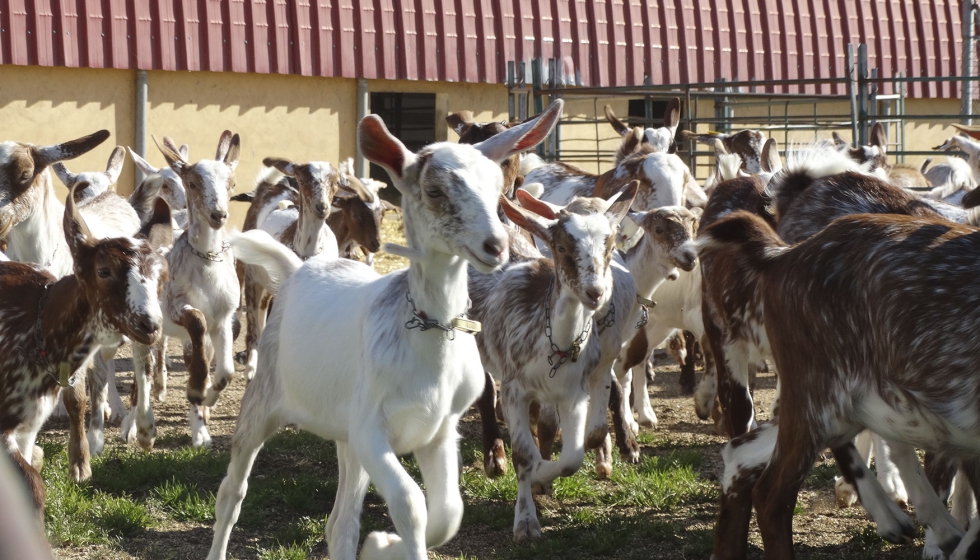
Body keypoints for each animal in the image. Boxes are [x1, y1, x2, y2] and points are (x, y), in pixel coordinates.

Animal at [468, 185, 636, 544]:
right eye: (561, 247)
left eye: (611, 246)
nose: (595, 292)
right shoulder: (515, 389)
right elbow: (524, 454)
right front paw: (526, 522)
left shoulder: (573, 394)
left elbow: (572, 457)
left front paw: (543, 477)